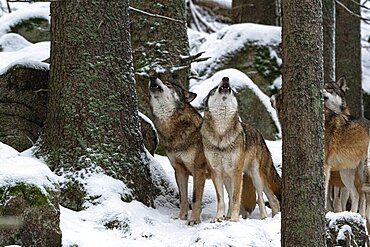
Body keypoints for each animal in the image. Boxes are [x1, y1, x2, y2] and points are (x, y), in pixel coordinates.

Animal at [199, 76, 280, 221]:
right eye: (214, 89)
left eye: (231, 90)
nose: (225, 78)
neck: (221, 132)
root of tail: (259, 133)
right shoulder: (216, 173)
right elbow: (222, 199)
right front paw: (218, 218)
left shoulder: (237, 172)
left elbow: (237, 198)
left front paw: (234, 219)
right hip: (228, 178)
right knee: (232, 197)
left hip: (256, 176)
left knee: (263, 197)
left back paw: (264, 217)